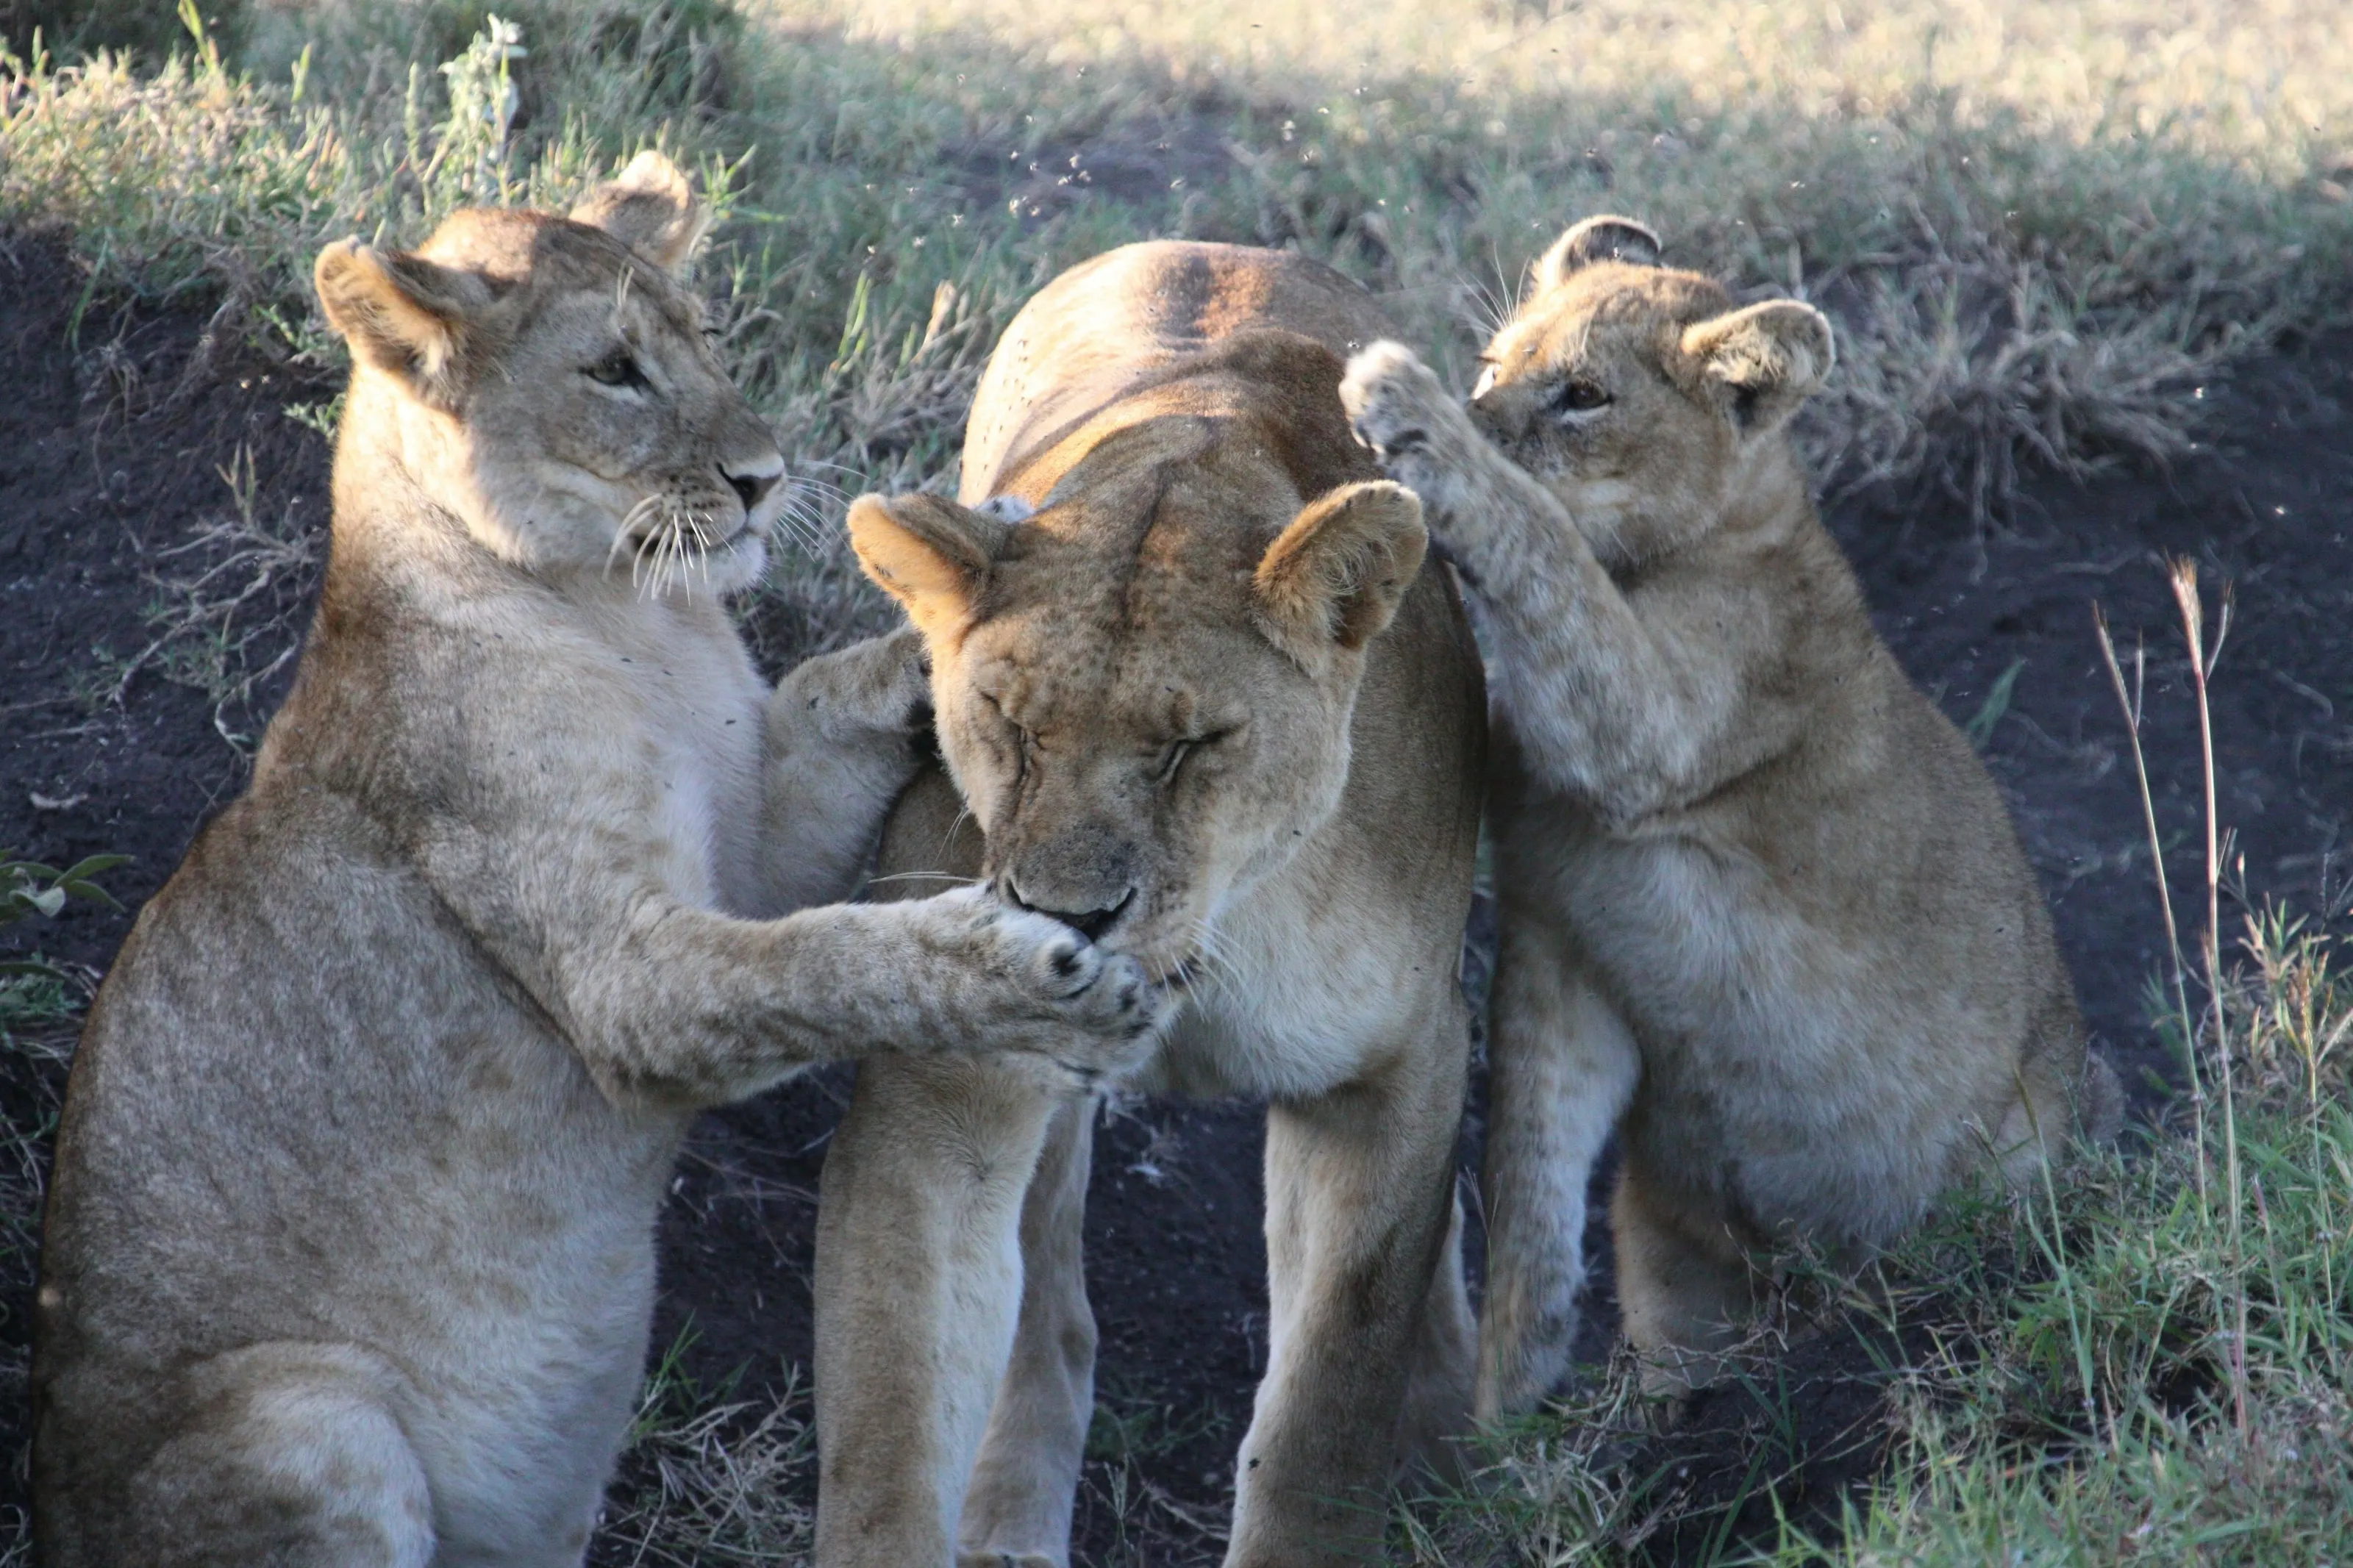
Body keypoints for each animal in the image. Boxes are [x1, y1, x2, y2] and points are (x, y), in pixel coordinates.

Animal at [32, 153, 1166, 1568]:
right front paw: (1043, 984)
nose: (766, 478)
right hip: (310, 1422)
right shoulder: (626, 977)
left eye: (708, 339)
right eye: (614, 371)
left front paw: (970, 571)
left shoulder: (749, 842)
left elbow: (826, 718)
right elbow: (829, 960)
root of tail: (52, 1509)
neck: (633, 614)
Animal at [807, 241, 1488, 1568]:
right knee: (1046, 1307)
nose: (1069, 919)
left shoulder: (1392, 1068)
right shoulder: (942, 1095)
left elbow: (1328, 1399)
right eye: (1012, 724)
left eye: (1193, 746)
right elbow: (892, 1406)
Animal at [1338, 216, 2120, 1412]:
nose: (1470, 405)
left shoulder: (1657, 722)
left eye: (1582, 395)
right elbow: (1529, 1187)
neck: (1708, 541)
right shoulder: (1559, 941)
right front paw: (1511, 1417)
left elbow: (1547, 550)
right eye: (1492, 362)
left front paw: (1400, 404)